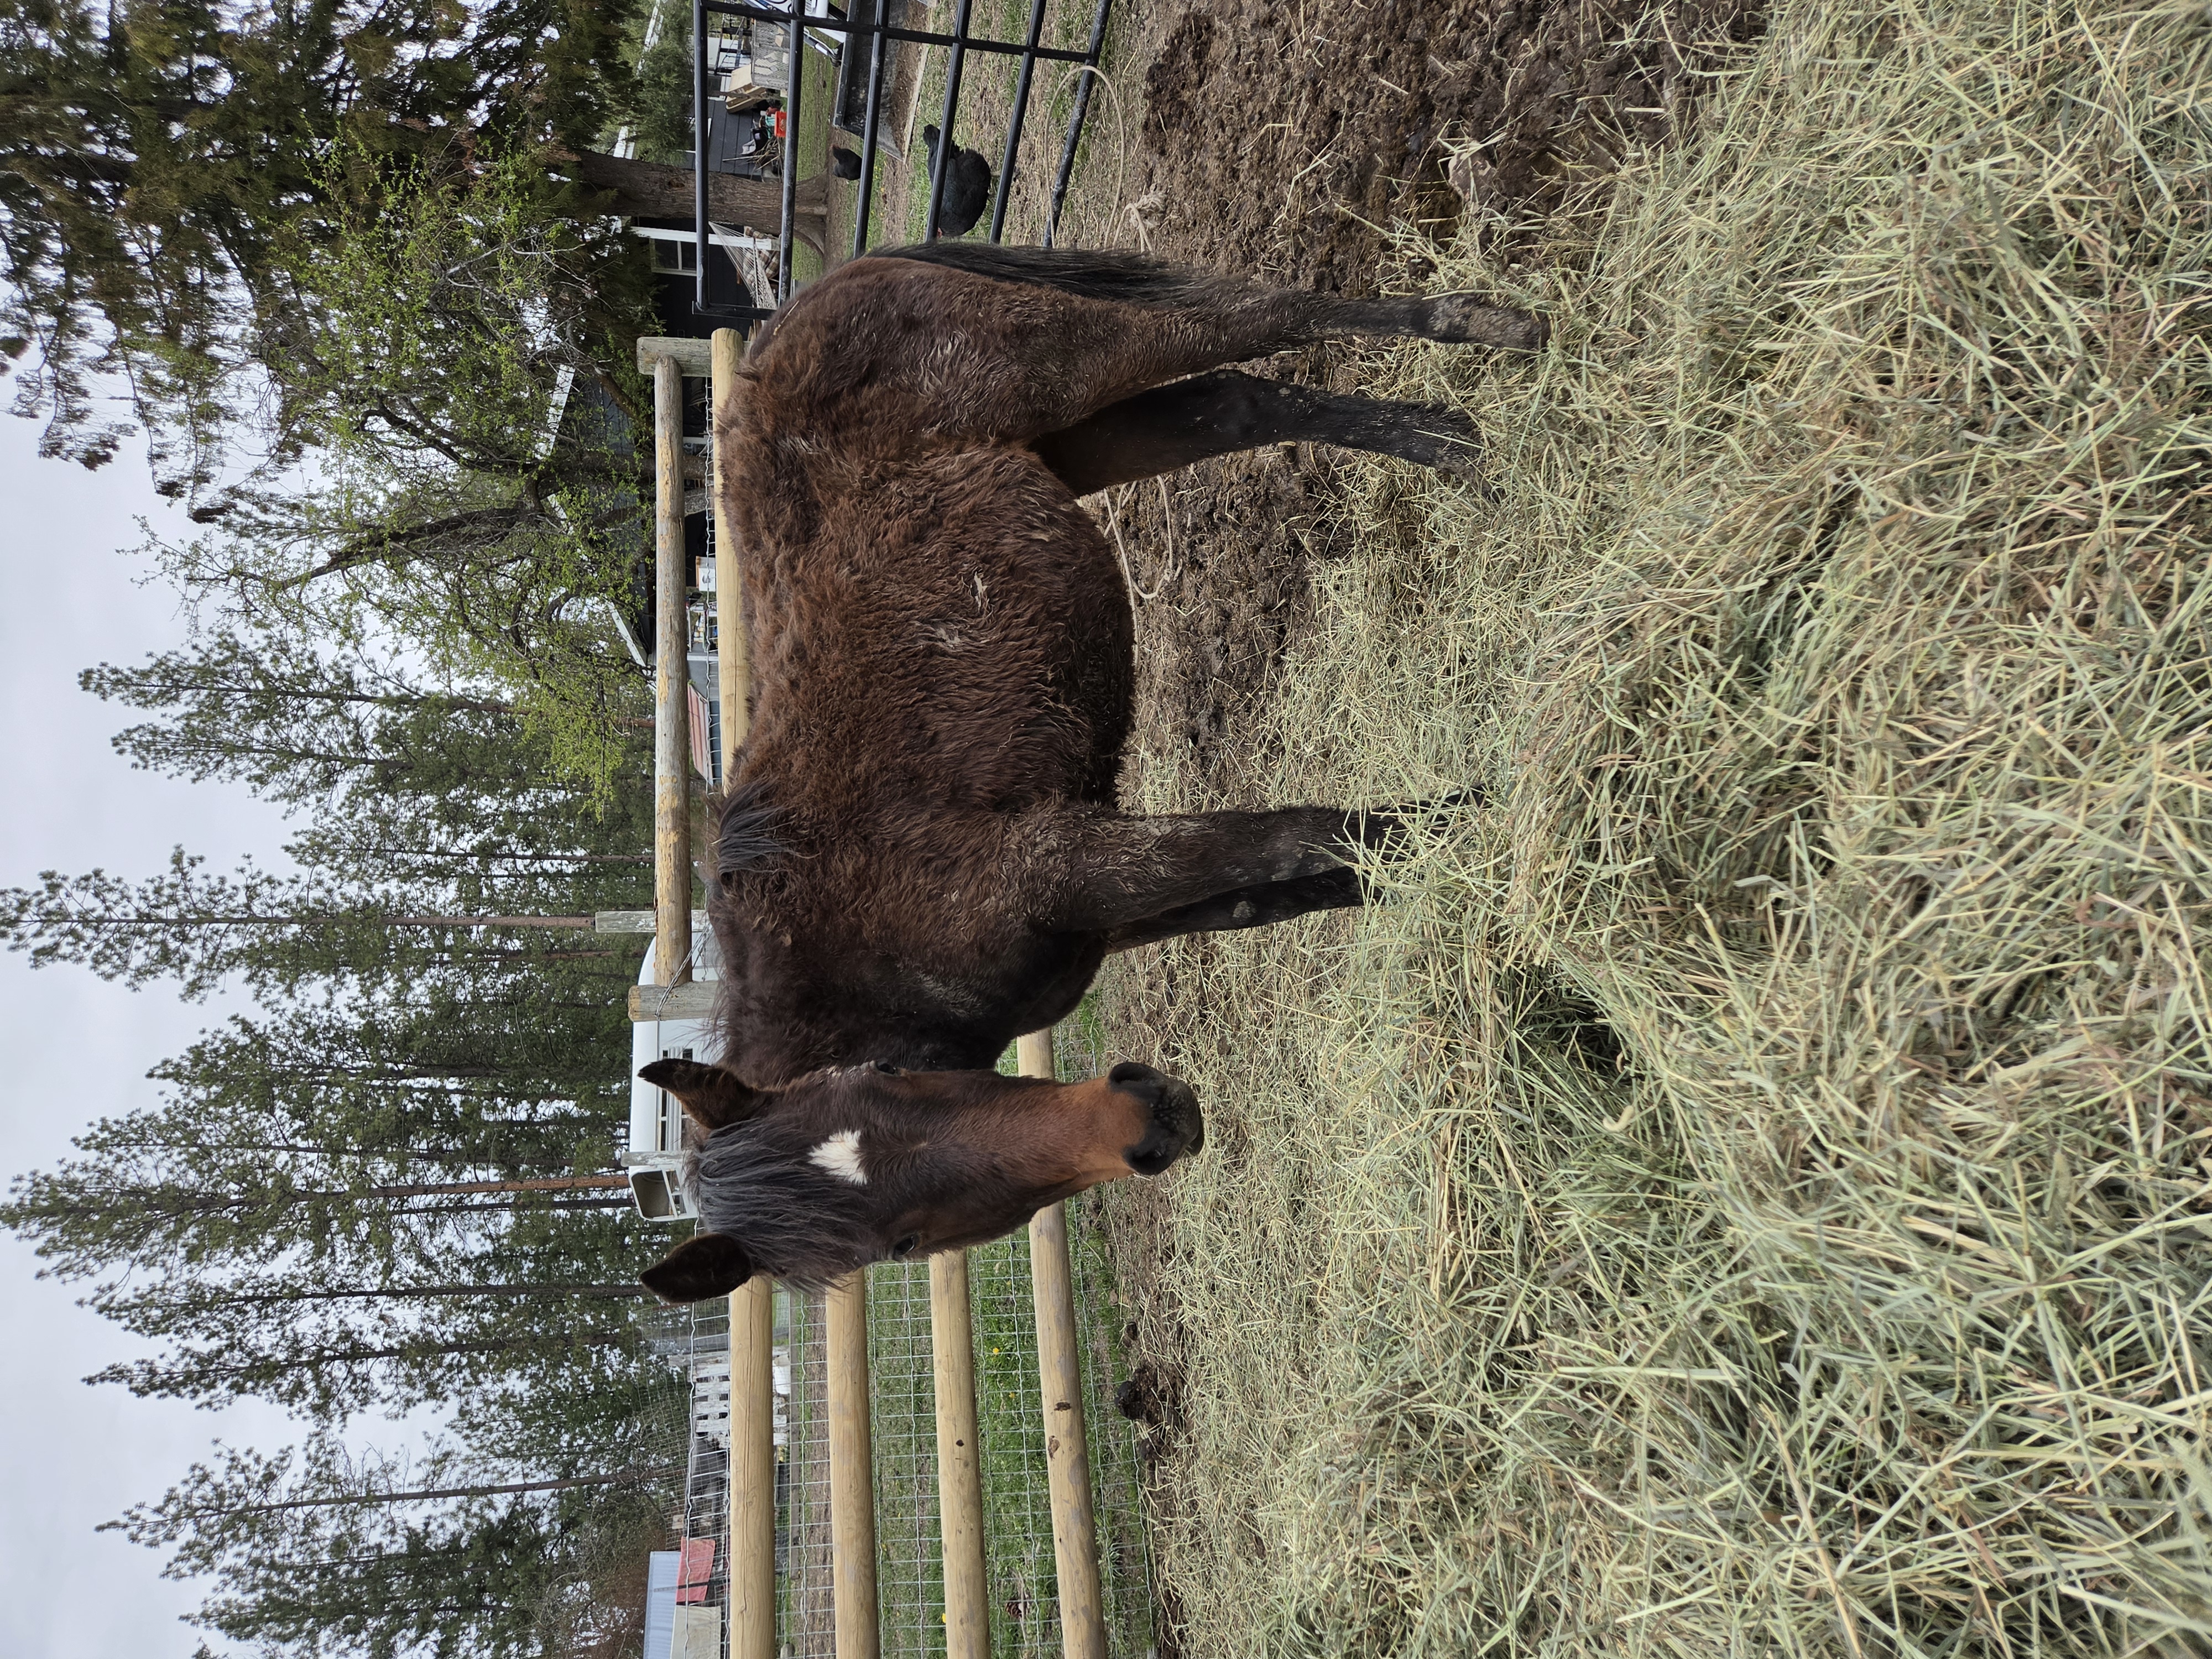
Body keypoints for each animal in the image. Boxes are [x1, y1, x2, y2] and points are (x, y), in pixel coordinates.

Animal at [639, 242, 1543, 1301]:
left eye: (888, 1078)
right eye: (895, 1246)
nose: (1152, 1119)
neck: (859, 947)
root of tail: (800, 309)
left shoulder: (1073, 859)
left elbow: (1299, 835)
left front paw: (1496, 828)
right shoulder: (1109, 916)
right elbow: (1302, 882)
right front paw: (1463, 859)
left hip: (1067, 362)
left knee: (1260, 316)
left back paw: (1495, 329)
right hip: (1082, 439)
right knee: (1241, 401)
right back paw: (1456, 444)